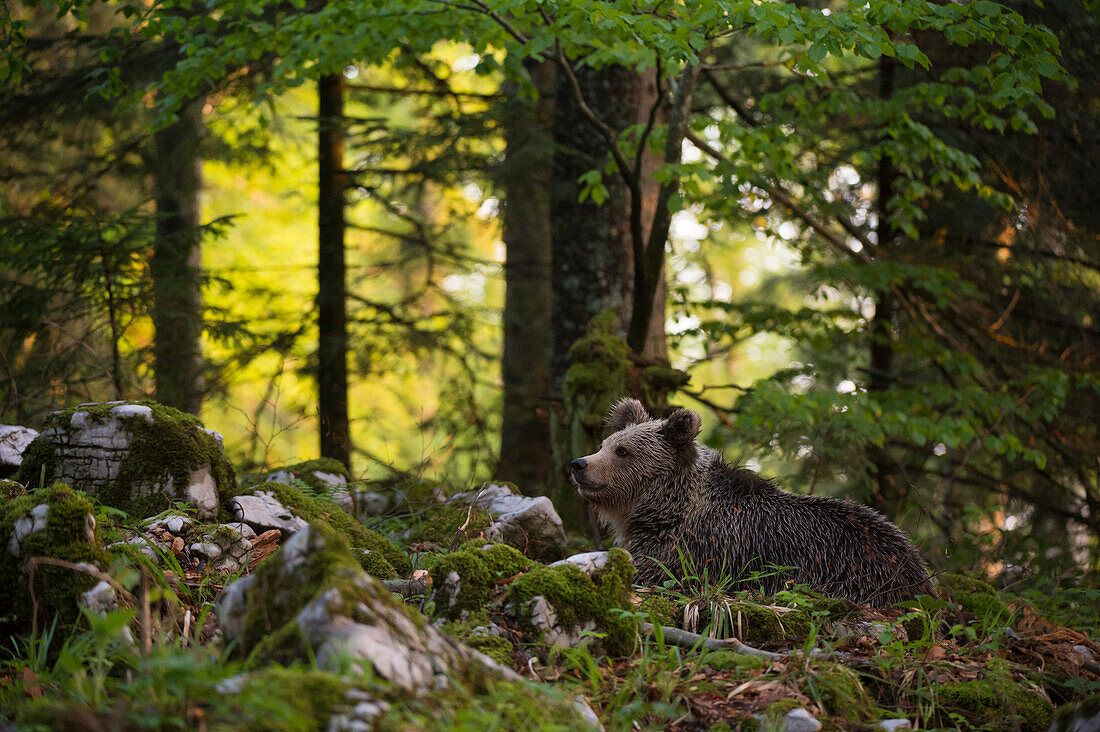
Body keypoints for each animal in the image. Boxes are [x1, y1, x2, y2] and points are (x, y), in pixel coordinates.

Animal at [572, 396, 932, 607]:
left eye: (623, 451)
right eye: (606, 444)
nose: (579, 464)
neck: (668, 508)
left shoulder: (694, 547)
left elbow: (650, 571)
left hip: (854, 571)